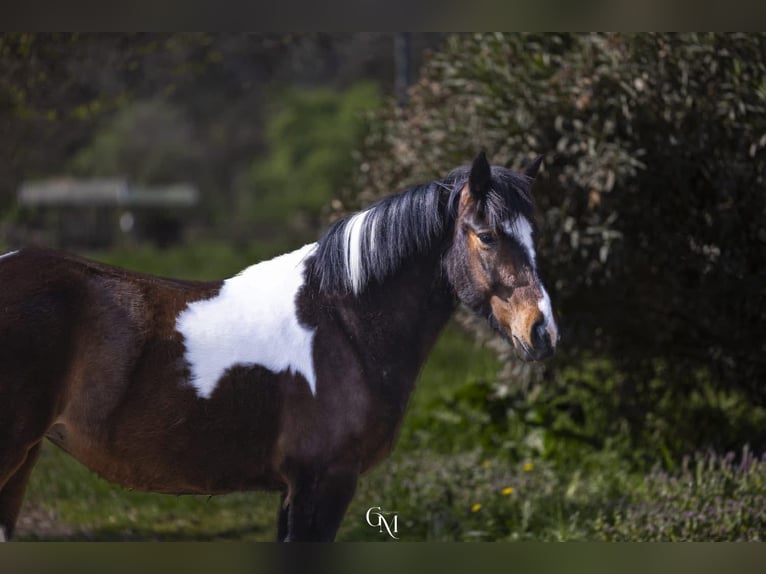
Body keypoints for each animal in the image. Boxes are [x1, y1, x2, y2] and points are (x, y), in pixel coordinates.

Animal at [0, 152, 558, 542]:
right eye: (487, 235)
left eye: (536, 235)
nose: (542, 331)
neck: (343, 324)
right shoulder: (323, 482)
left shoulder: (296, 490)